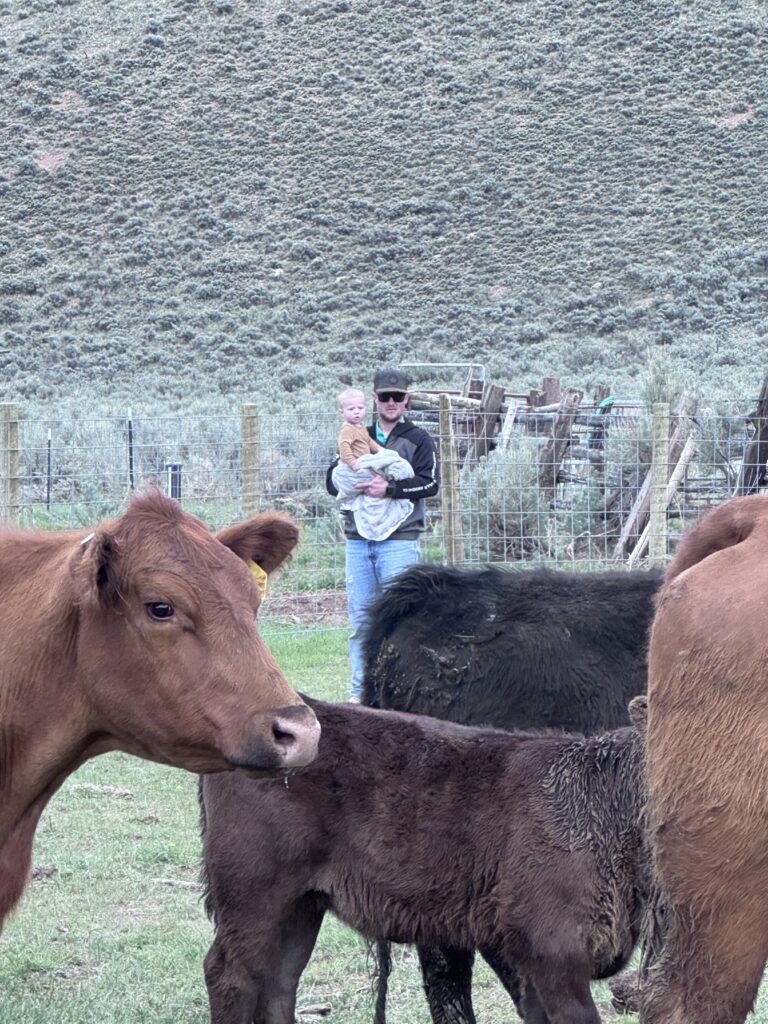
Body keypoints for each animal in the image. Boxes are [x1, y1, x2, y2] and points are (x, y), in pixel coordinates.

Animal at [200, 696, 651, 1024]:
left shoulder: (533, 961)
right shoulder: (555, 951)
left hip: (301, 904)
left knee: (279, 983)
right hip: (252, 893)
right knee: (231, 975)